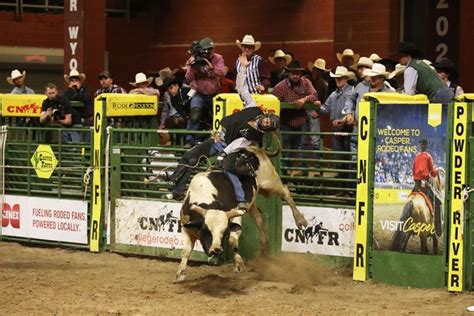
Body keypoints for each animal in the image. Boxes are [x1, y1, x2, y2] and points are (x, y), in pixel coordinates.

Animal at [174, 147, 308, 282]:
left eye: (225, 232)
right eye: (206, 231)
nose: (217, 250)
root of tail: (254, 148)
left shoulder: (235, 216)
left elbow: (233, 240)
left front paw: (239, 265)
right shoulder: (187, 228)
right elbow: (185, 251)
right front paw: (180, 274)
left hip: (270, 181)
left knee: (286, 192)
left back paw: (300, 220)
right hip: (251, 201)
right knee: (259, 217)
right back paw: (264, 248)